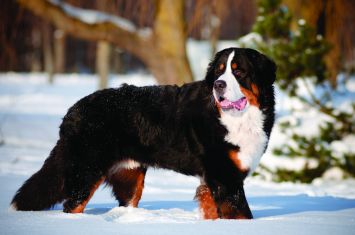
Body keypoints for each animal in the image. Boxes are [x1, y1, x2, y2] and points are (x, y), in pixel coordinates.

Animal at [11, 47, 276, 220]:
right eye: (219, 73)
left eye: (239, 72)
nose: (218, 85)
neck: (238, 119)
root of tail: (73, 110)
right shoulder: (225, 177)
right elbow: (242, 214)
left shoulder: (213, 179)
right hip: (86, 171)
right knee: (72, 205)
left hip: (129, 179)